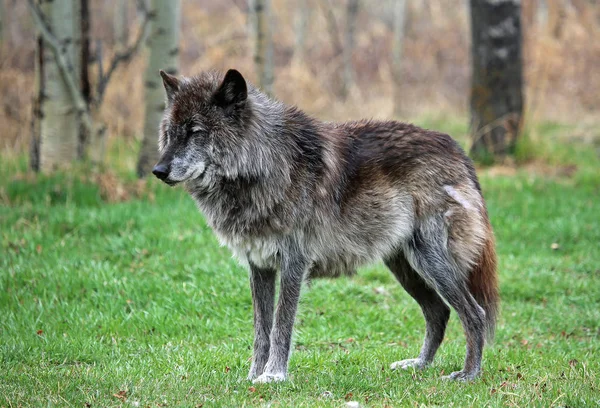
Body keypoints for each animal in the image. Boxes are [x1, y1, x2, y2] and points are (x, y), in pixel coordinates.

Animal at [152, 68, 500, 384]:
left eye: (196, 131)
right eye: (170, 132)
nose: (158, 170)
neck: (265, 164)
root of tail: (458, 150)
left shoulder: (294, 263)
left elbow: (281, 325)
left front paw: (274, 375)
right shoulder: (259, 266)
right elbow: (261, 330)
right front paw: (252, 376)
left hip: (432, 263)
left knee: (475, 314)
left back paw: (468, 375)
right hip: (405, 267)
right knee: (439, 313)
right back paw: (418, 366)